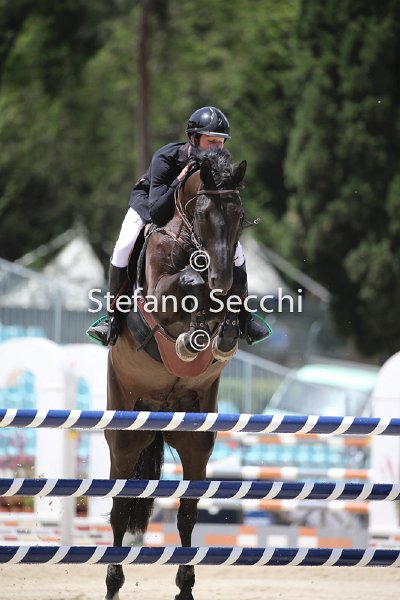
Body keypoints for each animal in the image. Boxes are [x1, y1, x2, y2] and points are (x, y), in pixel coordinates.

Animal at [105, 148, 247, 600]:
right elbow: (188, 284)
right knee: (119, 510)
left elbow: (234, 296)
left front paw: (221, 334)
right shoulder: (160, 296)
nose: (219, 277)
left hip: (196, 440)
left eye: (239, 214)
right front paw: (192, 335)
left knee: (187, 513)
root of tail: (160, 413)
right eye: (202, 213)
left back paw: (185, 585)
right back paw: (113, 583)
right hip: (125, 439)